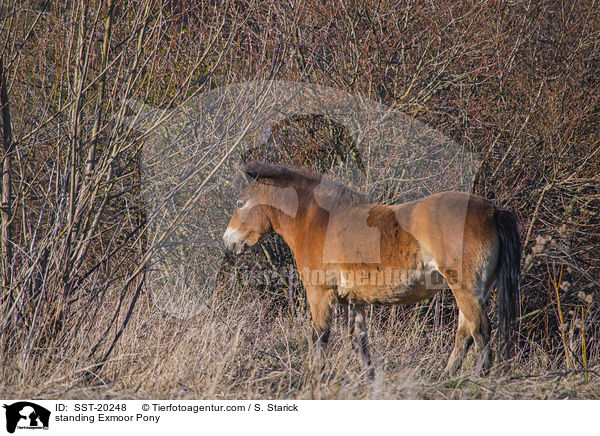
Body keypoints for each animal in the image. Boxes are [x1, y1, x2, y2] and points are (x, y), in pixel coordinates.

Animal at [221, 162, 520, 376]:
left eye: (240, 203)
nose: (228, 241)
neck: (319, 219)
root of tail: (493, 210)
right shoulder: (355, 302)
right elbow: (360, 344)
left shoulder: (320, 294)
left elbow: (320, 337)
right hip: (474, 292)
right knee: (465, 334)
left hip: (466, 290)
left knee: (480, 331)